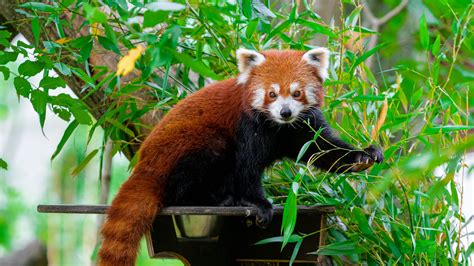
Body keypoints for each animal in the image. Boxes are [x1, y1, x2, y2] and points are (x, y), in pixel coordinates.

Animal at [98, 47, 384, 264]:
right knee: (193, 175)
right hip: (189, 148)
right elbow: (246, 168)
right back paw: (220, 200)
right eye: (271, 93)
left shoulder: (303, 127)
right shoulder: (247, 126)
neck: (278, 127)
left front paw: (363, 156)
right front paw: (258, 204)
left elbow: (323, 149)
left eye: (296, 93)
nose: (285, 112)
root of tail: (145, 165)